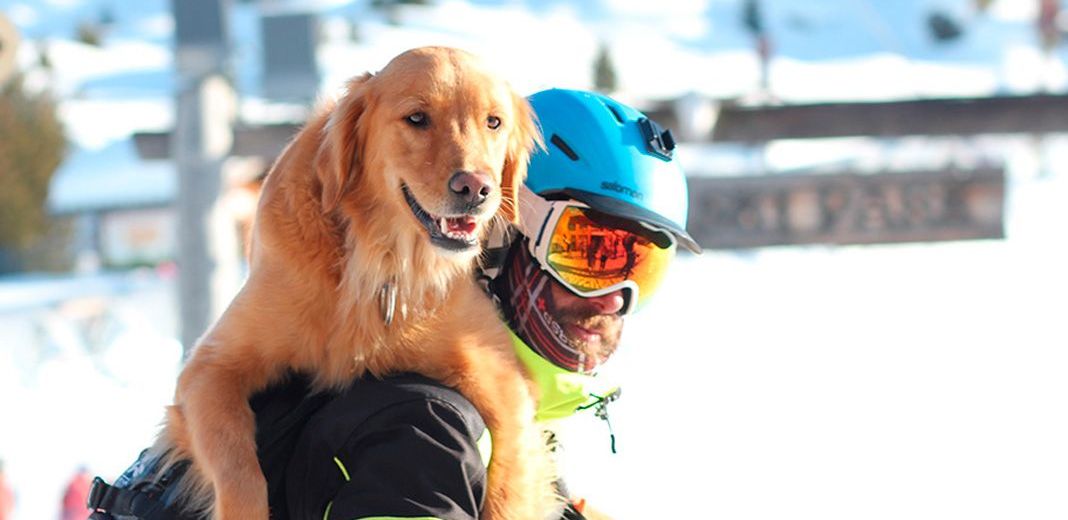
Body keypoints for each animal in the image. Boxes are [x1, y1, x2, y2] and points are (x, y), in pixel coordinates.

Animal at [159, 45, 559, 520]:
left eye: (493, 122)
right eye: (417, 118)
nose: (475, 187)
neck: (381, 266)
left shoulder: (504, 380)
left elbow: (511, 484)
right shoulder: (210, 368)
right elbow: (239, 471)